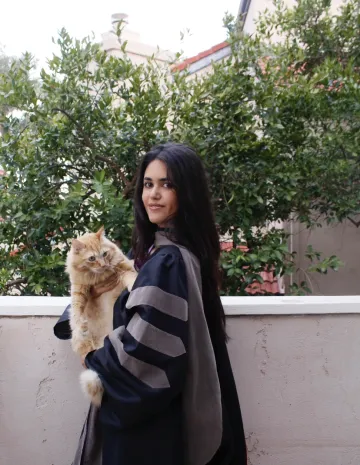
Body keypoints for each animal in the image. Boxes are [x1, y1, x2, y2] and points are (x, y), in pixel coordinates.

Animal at [65, 227, 137, 404]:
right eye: (92, 258)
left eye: (104, 254)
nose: (103, 264)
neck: (98, 276)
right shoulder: (79, 289)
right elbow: (76, 310)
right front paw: (80, 323)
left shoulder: (124, 268)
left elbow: (131, 276)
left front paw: (135, 286)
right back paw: (83, 332)